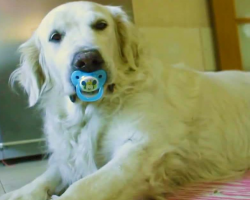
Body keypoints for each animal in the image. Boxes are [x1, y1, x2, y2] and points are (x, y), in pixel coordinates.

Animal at [1, 1, 250, 200]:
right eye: (55, 37)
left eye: (101, 25)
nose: (88, 60)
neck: (93, 110)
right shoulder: (69, 155)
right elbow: (48, 176)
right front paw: (18, 193)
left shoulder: (144, 148)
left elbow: (85, 186)